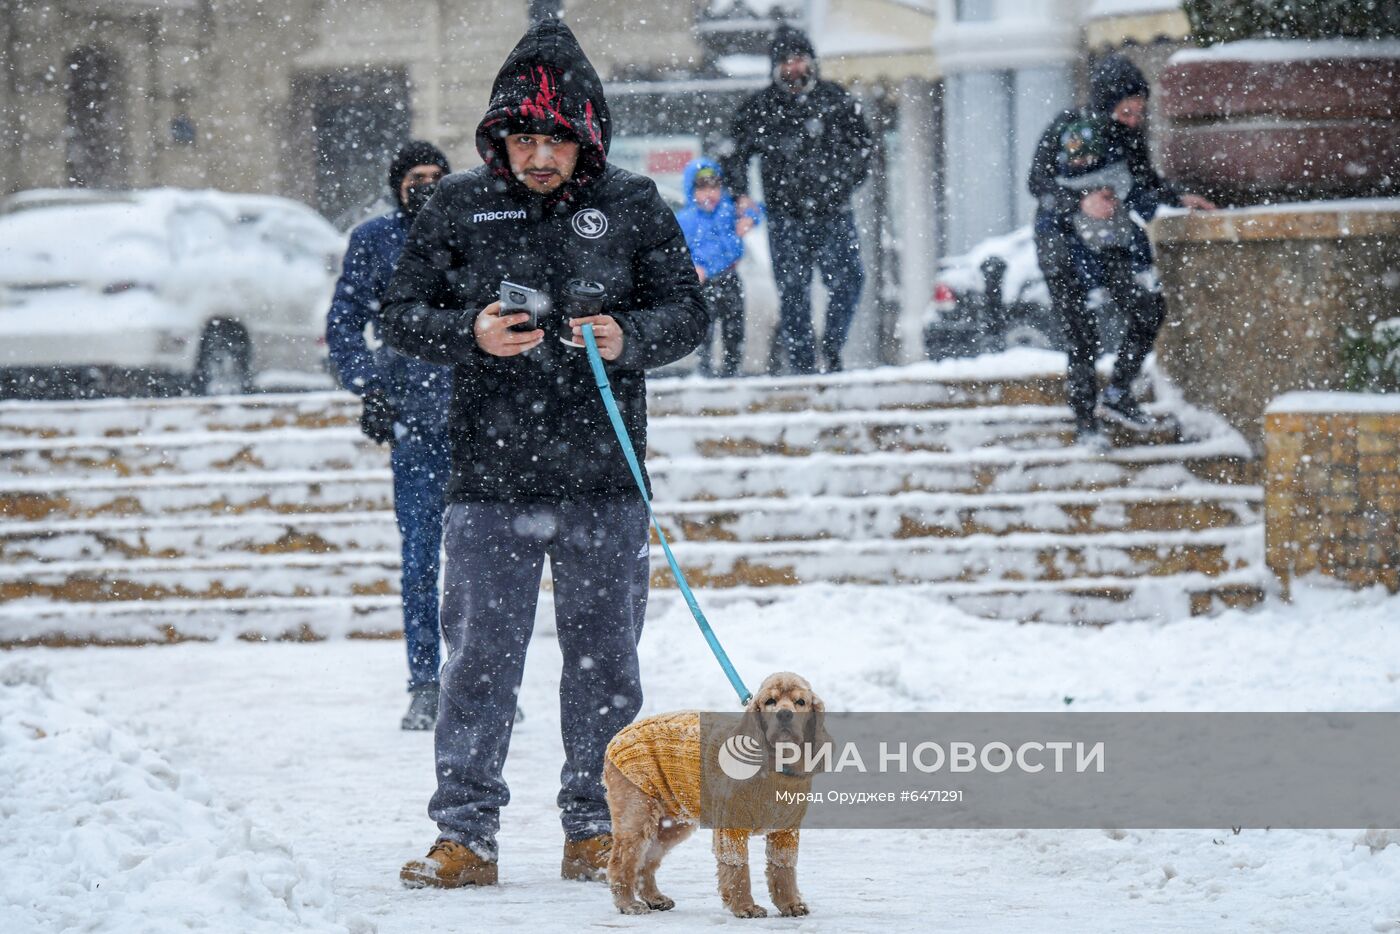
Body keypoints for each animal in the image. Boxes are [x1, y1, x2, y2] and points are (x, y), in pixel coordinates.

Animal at [604, 672, 828, 918]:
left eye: (801, 702)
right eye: (770, 701)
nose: (785, 714)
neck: (776, 763)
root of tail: (619, 736)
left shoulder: (786, 831)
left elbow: (783, 868)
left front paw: (790, 904)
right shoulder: (731, 827)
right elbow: (737, 869)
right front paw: (745, 906)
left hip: (672, 823)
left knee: (648, 860)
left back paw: (654, 898)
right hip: (636, 813)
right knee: (621, 861)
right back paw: (628, 903)